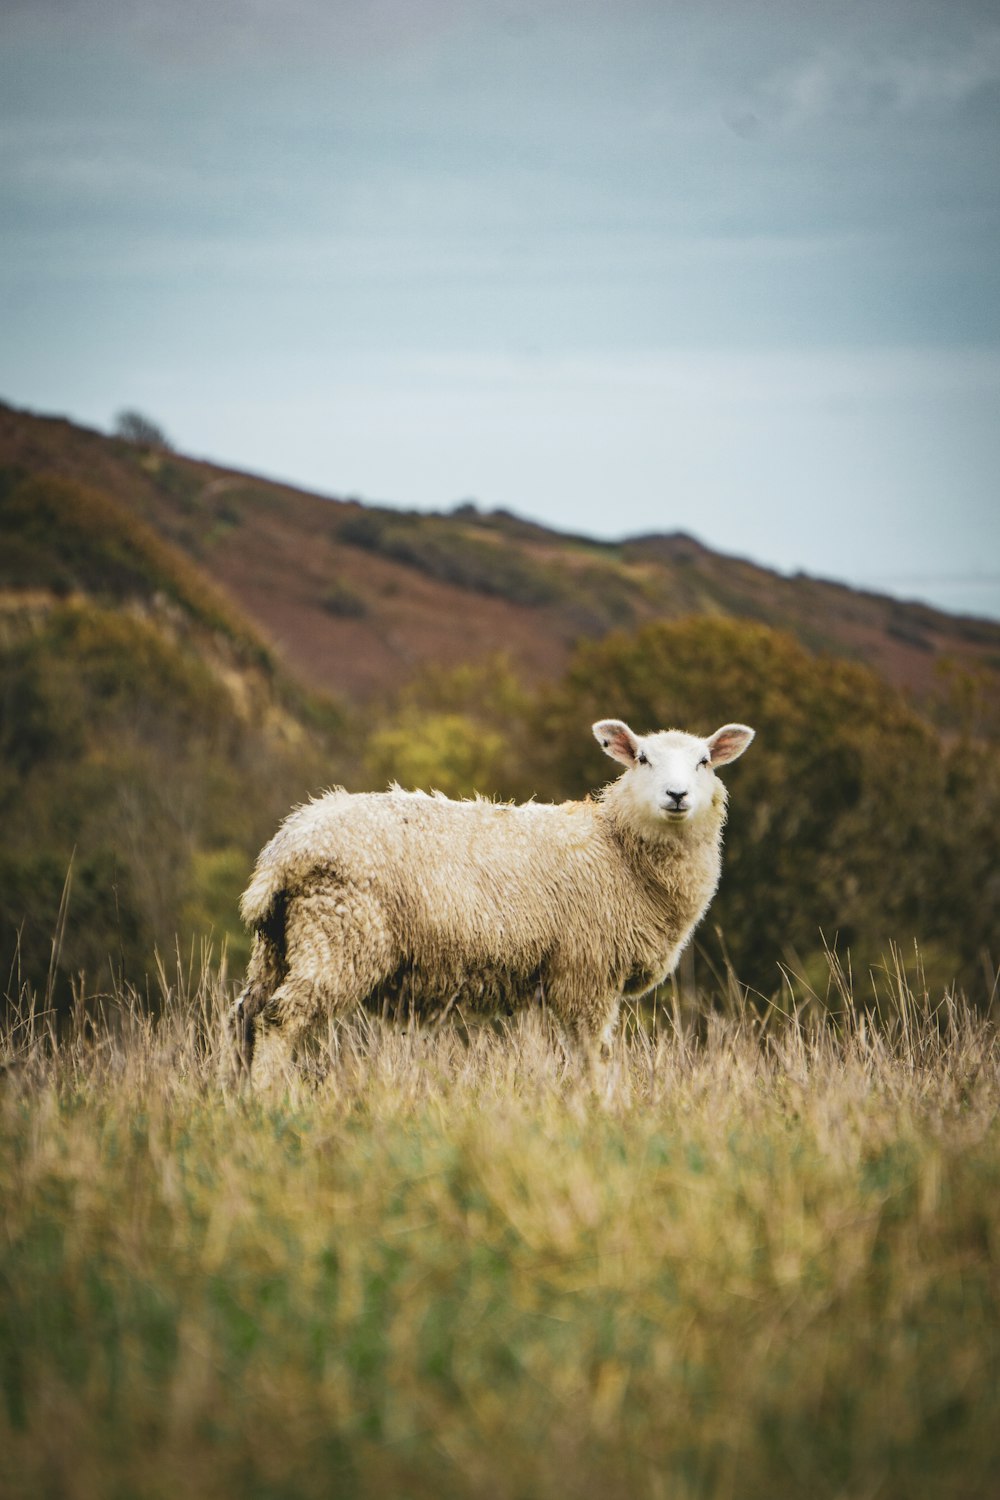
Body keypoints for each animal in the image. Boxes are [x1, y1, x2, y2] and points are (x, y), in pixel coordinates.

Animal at [229, 717, 749, 1092]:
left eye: (704, 761)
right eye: (642, 758)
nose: (677, 795)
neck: (616, 847)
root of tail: (286, 846)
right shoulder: (587, 972)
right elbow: (593, 1055)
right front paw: (598, 1109)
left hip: (278, 943)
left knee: (245, 1016)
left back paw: (237, 1095)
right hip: (340, 933)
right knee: (280, 1019)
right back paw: (268, 1101)